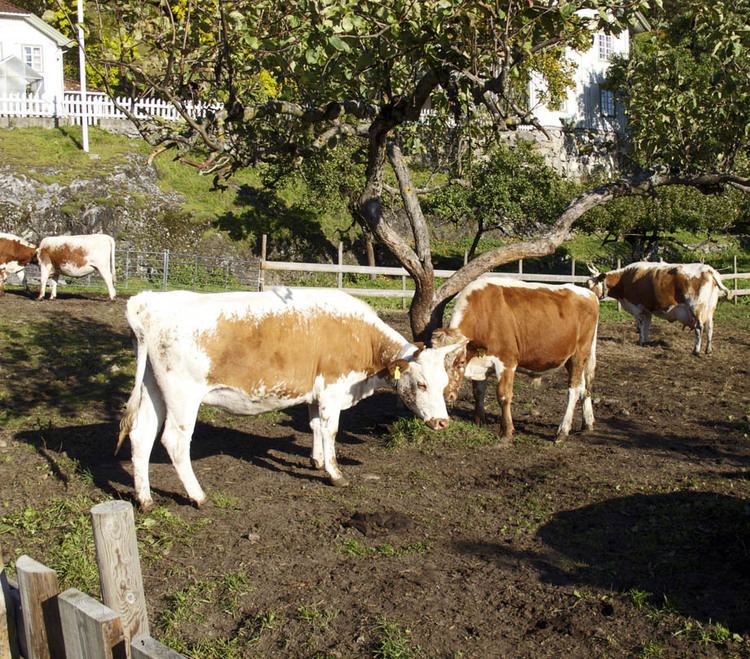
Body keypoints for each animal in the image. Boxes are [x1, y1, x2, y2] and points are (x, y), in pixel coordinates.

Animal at [117, 288, 464, 510]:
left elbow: (315, 426)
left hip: (152, 388)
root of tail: (149, 302)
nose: (442, 422)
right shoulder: (332, 390)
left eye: (443, 382)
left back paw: (145, 499)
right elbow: (330, 430)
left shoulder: (314, 392)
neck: (359, 337)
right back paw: (198, 496)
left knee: (141, 435)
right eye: (421, 384)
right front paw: (335, 474)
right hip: (182, 394)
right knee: (174, 441)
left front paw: (316, 460)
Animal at [434, 278, 600, 444]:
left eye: (461, 362)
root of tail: (589, 294)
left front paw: (506, 432)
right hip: (574, 358)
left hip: (578, 354)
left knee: (574, 389)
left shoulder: (507, 361)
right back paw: (587, 424)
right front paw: (480, 421)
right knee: (584, 387)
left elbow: (503, 396)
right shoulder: (482, 363)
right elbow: (478, 392)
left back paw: (562, 432)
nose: (446, 395)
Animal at [592, 262, 732, 356]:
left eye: (591, 284)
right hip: (709, 310)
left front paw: (641, 341)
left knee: (699, 328)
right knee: (710, 328)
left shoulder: (638, 309)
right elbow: (647, 325)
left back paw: (696, 350)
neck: (624, 279)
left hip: (696, 308)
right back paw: (708, 350)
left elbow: (641, 326)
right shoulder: (647, 310)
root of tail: (709, 269)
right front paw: (646, 342)